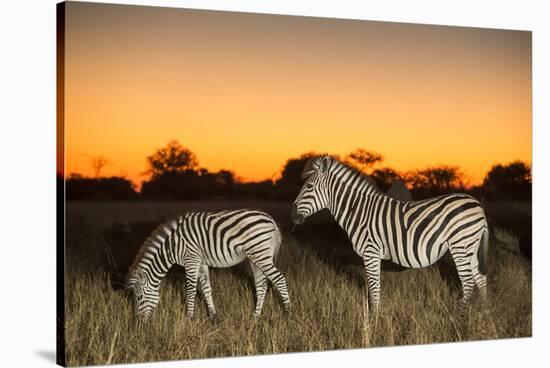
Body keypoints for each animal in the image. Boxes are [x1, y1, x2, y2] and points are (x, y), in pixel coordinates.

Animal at [124, 210, 288, 322]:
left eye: (139, 298)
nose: (139, 323)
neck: (173, 246)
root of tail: (271, 220)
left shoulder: (191, 260)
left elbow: (190, 290)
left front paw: (189, 318)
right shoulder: (201, 263)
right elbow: (206, 289)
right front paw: (213, 317)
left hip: (260, 254)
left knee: (279, 279)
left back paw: (288, 313)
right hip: (255, 258)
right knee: (261, 285)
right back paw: (255, 316)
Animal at [294, 155, 492, 310]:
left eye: (309, 187)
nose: (292, 215)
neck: (359, 211)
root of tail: (478, 205)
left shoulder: (371, 252)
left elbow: (374, 289)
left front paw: (374, 320)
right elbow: (375, 288)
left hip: (460, 243)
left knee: (468, 282)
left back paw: (459, 314)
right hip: (470, 246)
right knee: (480, 278)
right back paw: (482, 313)